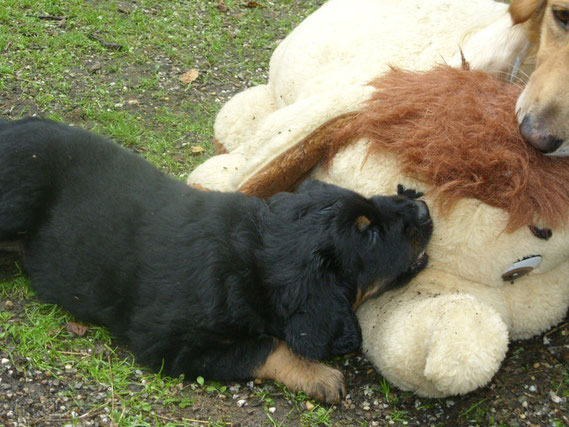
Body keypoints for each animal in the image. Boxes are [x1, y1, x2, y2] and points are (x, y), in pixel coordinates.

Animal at [0, 118, 430, 404]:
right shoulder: (171, 344)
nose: (423, 209)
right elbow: (268, 346)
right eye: (368, 234)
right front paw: (320, 376)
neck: (254, 256)